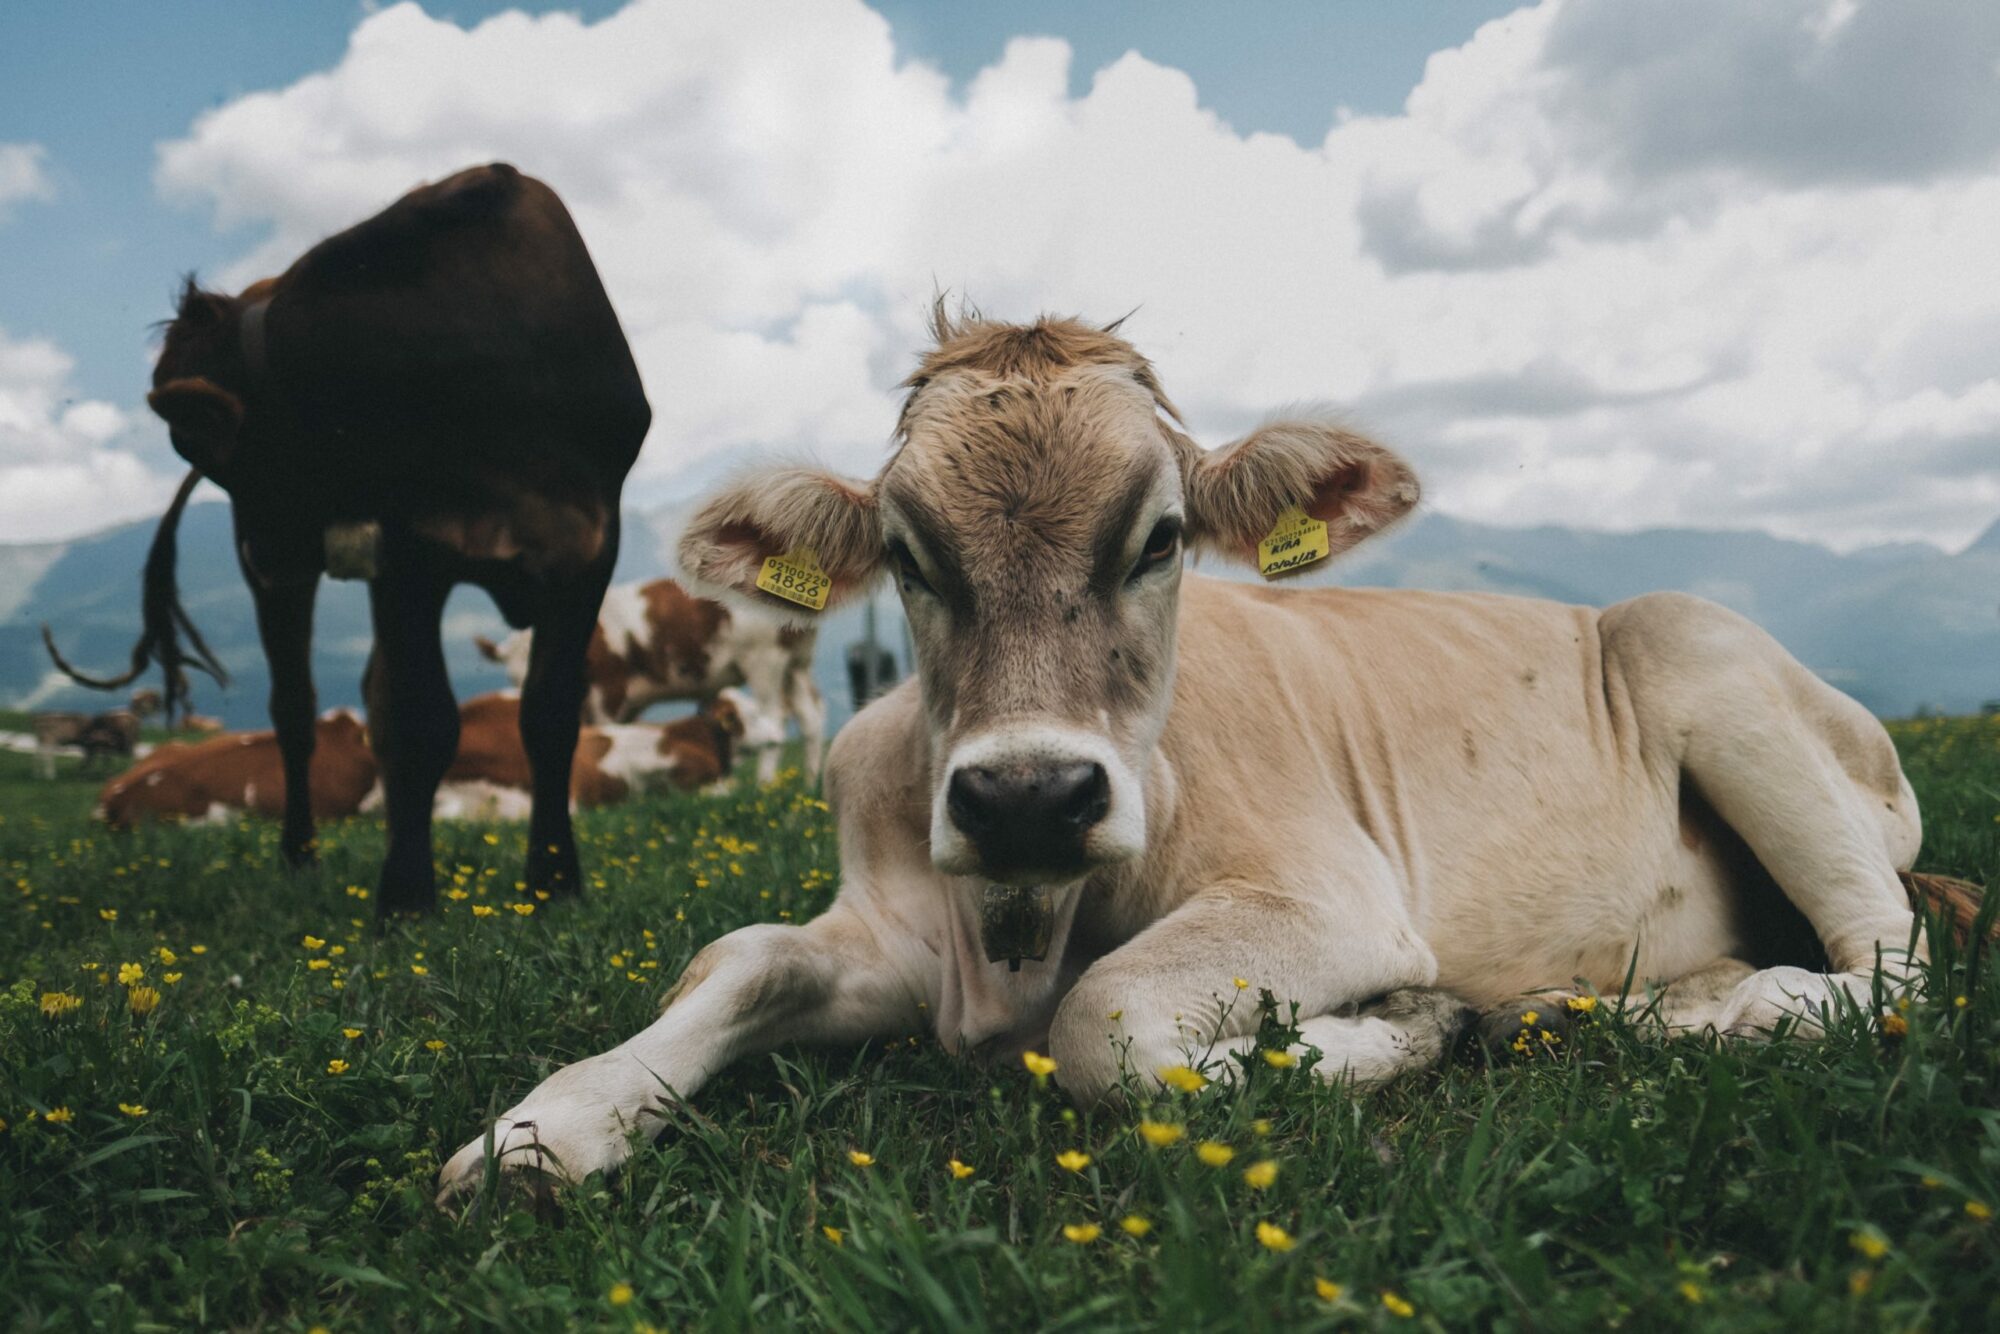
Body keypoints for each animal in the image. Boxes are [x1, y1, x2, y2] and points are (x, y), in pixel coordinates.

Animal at [472, 576, 816, 784]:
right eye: (513, 676)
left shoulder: (610, 689)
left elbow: (607, 729)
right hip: (796, 664)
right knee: (810, 717)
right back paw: (811, 783)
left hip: (765, 660)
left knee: (776, 717)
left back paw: (764, 784)